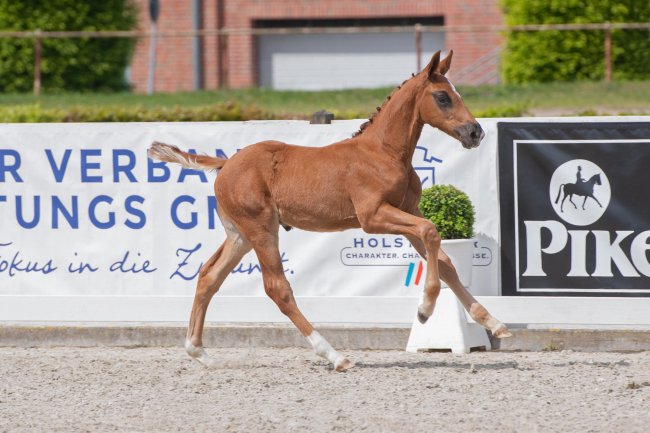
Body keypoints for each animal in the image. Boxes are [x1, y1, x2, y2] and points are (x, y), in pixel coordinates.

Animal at [148, 50, 512, 372]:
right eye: (442, 97)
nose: (475, 132)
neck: (382, 153)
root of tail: (225, 164)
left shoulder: (407, 210)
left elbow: (446, 261)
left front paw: (493, 322)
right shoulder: (373, 217)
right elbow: (432, 232)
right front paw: (424, 310)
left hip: (239, 234)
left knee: (209, 276)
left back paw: (199, 352)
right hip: (261, 228)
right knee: (277, 288)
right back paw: (335, 356)